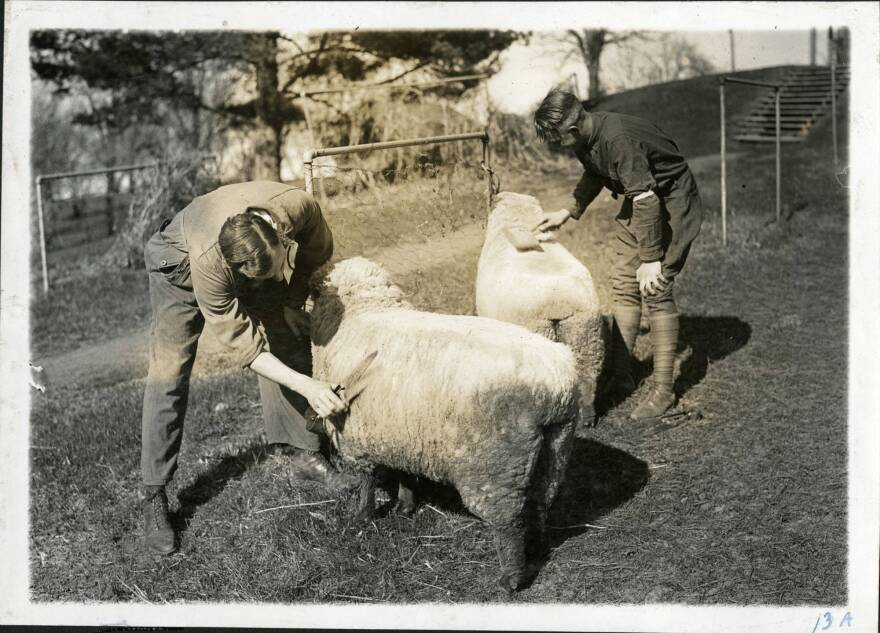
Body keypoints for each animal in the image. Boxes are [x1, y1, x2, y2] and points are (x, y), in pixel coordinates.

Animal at [309, 257, 581, 592]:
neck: (364, 310)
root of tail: (555, 389)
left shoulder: (355, 438)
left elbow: (366, 484)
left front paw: (361, 518)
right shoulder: (403, 433)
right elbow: (405, 472)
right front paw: (405, 506)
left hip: (495, 468)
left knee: (508, 525)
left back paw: (510, 578)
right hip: (556, 448)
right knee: (542, 501)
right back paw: (538, 548)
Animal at [476, 191, 608, 429]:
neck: (519, 220)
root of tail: (558, 300)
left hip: (539, 334)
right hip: (586, 335)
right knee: (587, 376)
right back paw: (586, 419)